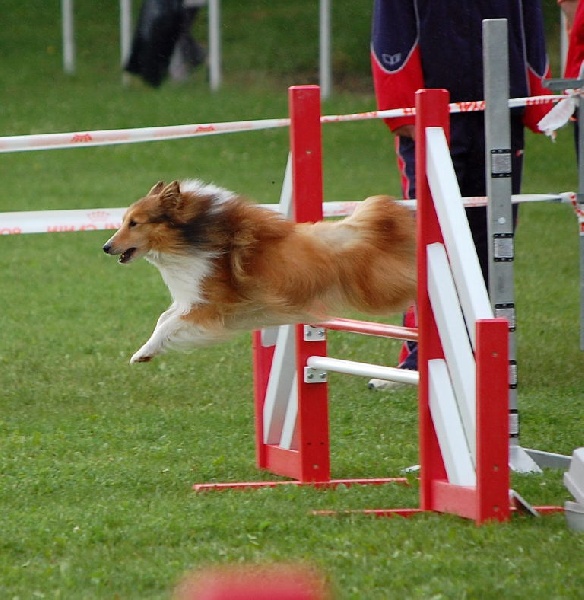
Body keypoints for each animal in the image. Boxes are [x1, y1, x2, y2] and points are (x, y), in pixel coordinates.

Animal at [102, 180, 418, 364]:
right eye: (124, 220)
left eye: (134, 223)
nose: (106, 247)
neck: (195, 237)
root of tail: (359, 230)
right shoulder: (192, 298)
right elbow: (163, 319)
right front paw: (148, 352)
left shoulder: (212, 306)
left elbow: (167, 325)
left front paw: (141, 353)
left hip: (379, 290)